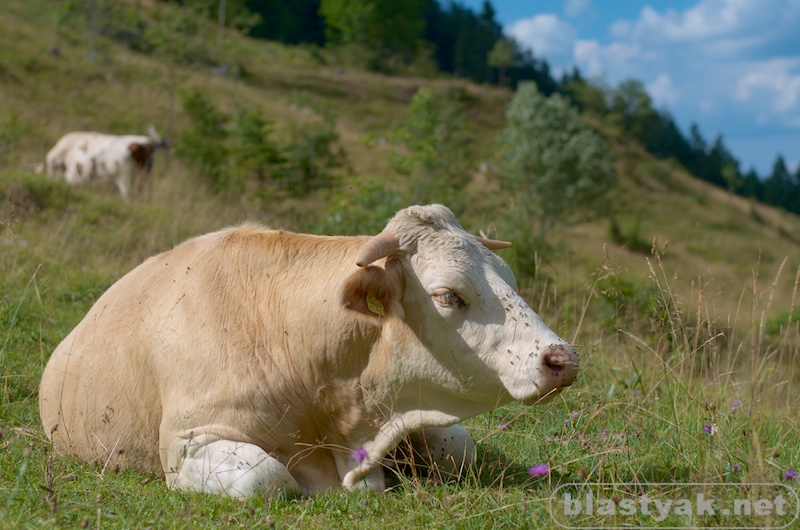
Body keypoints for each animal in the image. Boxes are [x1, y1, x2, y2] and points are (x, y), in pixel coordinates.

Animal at [40, 204, 580, 498]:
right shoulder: (187, 440)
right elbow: (267, 477)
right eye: (449, 296)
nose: (562, 359)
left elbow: (459, 448)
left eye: (510, 279)